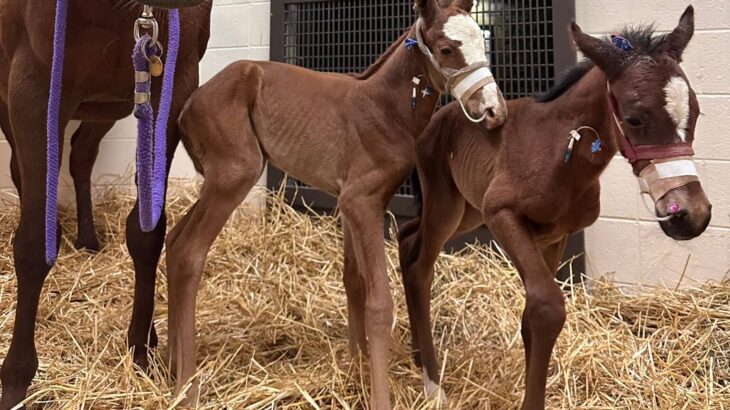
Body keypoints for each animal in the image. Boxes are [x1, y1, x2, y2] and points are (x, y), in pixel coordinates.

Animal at [0, 1, 210, 408]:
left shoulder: (171, 83)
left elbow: (147, 232)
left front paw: (141, 348)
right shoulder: (32, 91)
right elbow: (33, 244)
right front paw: (15, 379)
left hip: (104, 107)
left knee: (81, 155)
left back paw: (88, 238)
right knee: (24, 171)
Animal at [166, 0, 506, 406]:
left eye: (483, 41)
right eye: (446, 49)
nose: (495, 111)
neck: (386, 108)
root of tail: (186, 108)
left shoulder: (351, 202)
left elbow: (354, 280)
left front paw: (356, 368)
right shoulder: (362, 200)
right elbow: (380, 303)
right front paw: (380, 398)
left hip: (216, 181)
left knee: (173, 240)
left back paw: (167, 366)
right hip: (235, 173)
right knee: (189, 252)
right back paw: (186, 387)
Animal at [396, 4, 708, 408]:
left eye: (697, 113)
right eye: (635, 118)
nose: (691, 215)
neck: (558, 151)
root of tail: (435, 120)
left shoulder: (555, 235)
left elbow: (532, 315)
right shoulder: (502, 215)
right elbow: (546, 308)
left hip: (467, 212)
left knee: (407, 236)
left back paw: (417, 352)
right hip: (447, 207)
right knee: (420, 265)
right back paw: (432, 382)